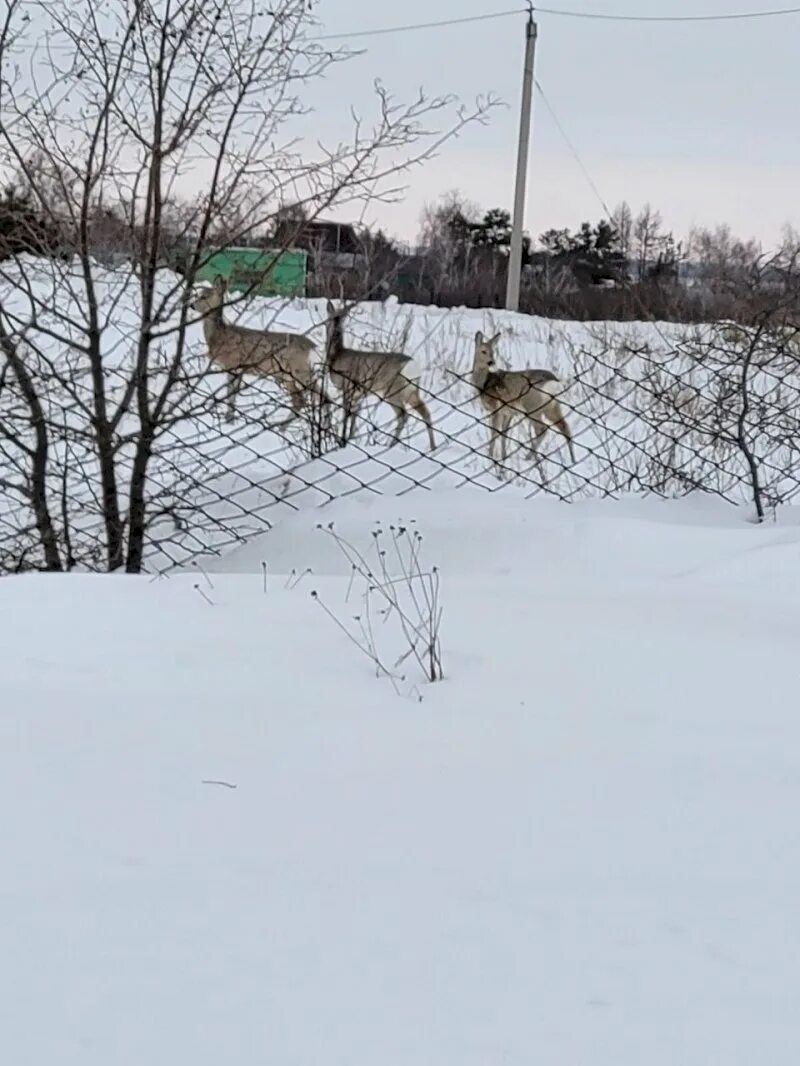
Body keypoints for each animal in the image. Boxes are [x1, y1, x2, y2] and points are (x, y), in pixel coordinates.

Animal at [193, 277, 322, 422]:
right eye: (197, 294)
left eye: (204, 296)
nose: (191, 305)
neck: (219, 336)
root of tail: (313, 347)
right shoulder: (239, 369)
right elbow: (233, 395)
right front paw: (230, 419)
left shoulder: (232, 364)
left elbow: (230, 394)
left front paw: (228, 419)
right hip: (292, 375)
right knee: (303, 399)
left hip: (299, 371)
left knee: (316, 397)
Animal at [326, 300, 439, 449]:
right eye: (334, 317)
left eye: (341, 317)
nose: (337, 327)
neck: (336, 355)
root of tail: (411, 365)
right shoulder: (358, 393)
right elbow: (355, 416)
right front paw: (351, 438)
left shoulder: (347, 387)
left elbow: (347, 415)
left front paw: (343, 440)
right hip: (412, 390)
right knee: (425, 412)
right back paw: (433, 447)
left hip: (393, 390)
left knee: (403, 414)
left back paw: (391, 444)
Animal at [469, 330, 576, 469]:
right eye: (483, 351)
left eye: (493, 351)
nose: (491, 362)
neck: (484, 383)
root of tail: (553, 381)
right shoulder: (508, 413)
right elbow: (504, 434)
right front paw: (504, 456)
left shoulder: (496, 407)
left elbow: (495, 433)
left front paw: (490, 456)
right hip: (552, 407)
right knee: (565, 427)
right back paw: (573, 460)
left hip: (532, 406)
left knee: (543, 429)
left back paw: (528, 457)